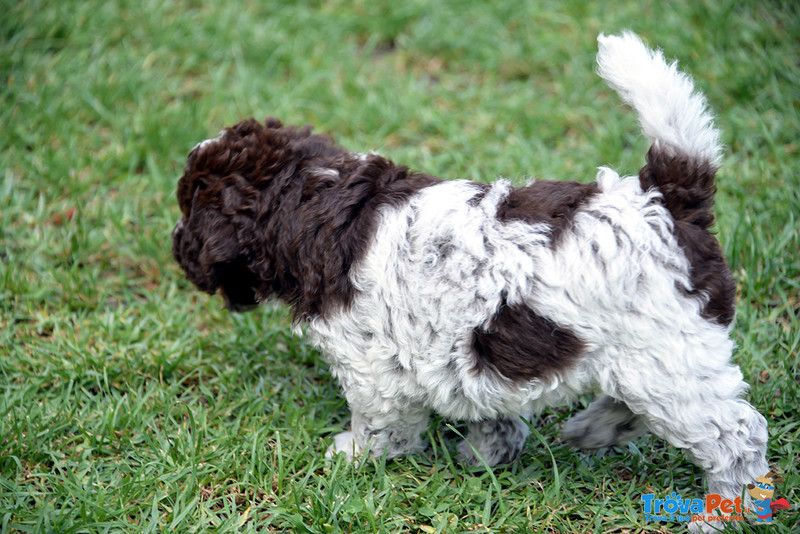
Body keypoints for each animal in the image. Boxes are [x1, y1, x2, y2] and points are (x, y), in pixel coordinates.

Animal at [173, 34, 768, 532]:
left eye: (187, 209)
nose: (176, 246)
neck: (315, 199)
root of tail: (667, 200)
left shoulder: (372, 367)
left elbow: (379, 423)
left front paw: (351, 455)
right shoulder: (473, 357)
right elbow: (493, 408)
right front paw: (489, 452)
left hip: (669, 358)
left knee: (736, 437)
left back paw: (718, 515)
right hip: (650, 359)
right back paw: (593, 431)